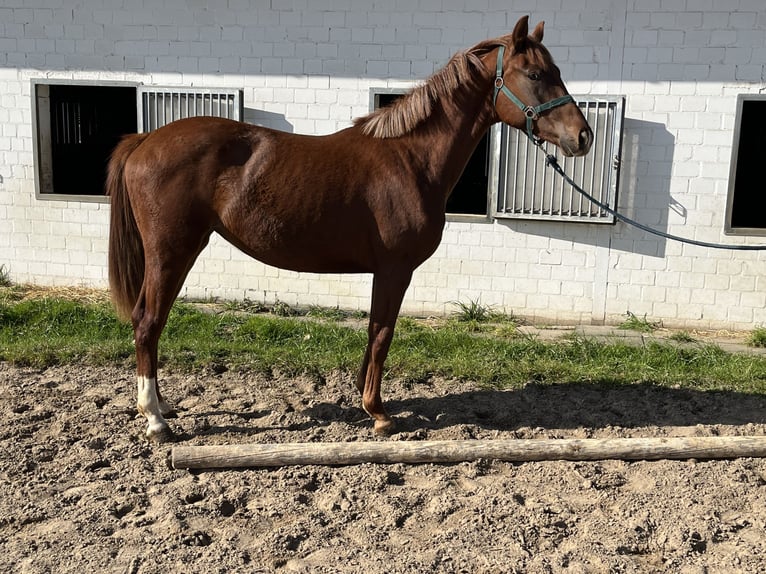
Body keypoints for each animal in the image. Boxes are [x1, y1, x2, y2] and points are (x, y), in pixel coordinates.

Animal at [106, 15, 592, 444]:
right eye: (535, 73)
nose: (583, 137)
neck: (410, 159)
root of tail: (145, 141)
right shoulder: (395, 269)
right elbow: (382, 334)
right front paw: (378, 413)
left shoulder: (386, 272)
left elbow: (375, 332)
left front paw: (366, 399)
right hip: (171, 253)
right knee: (148, 322)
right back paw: (155, 420)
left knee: (151, 323)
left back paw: (163, 406)